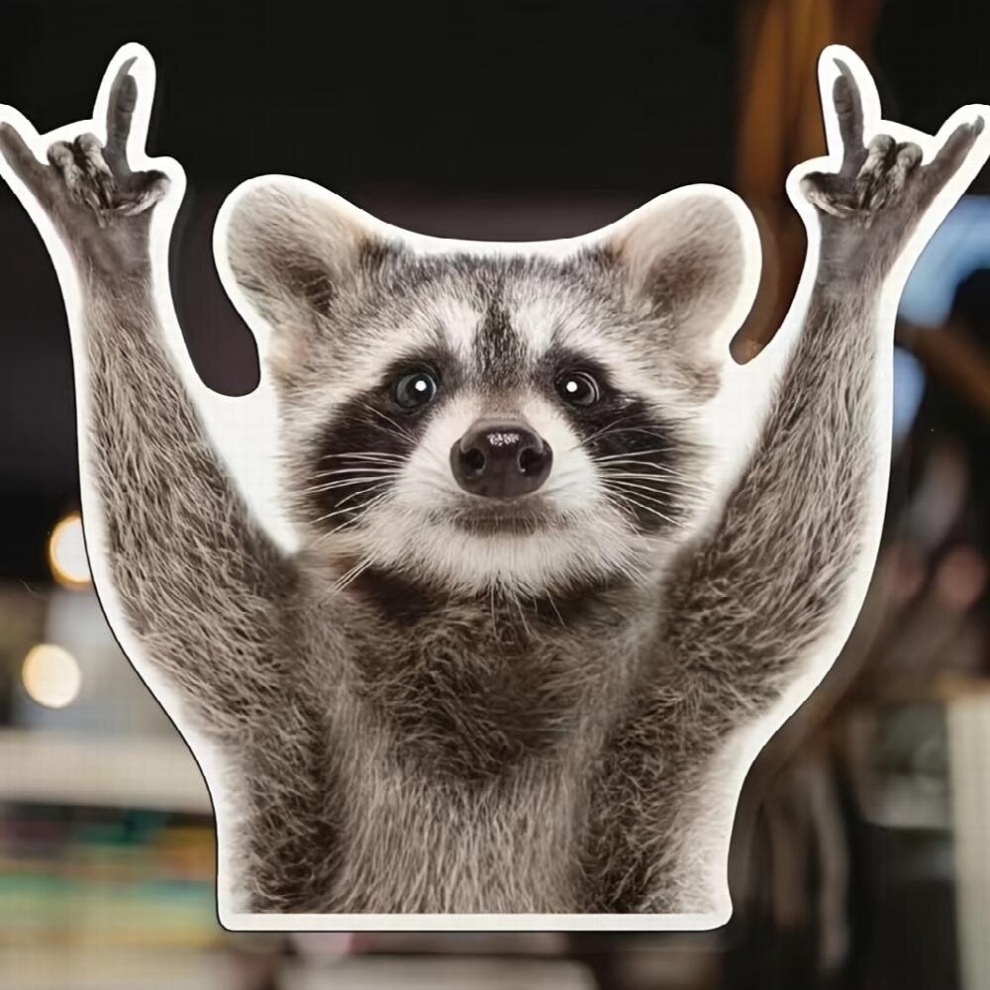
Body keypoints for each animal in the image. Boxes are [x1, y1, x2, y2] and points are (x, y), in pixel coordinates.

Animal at [0, 45, 985, 919]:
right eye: (416, 384)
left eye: (578, 385)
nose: (504, 449)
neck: (490, 594)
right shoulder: (284, 682)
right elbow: (175, 573)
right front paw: (111, 268)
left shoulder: (677, 683)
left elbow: (784, 569)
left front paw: (853, 269)